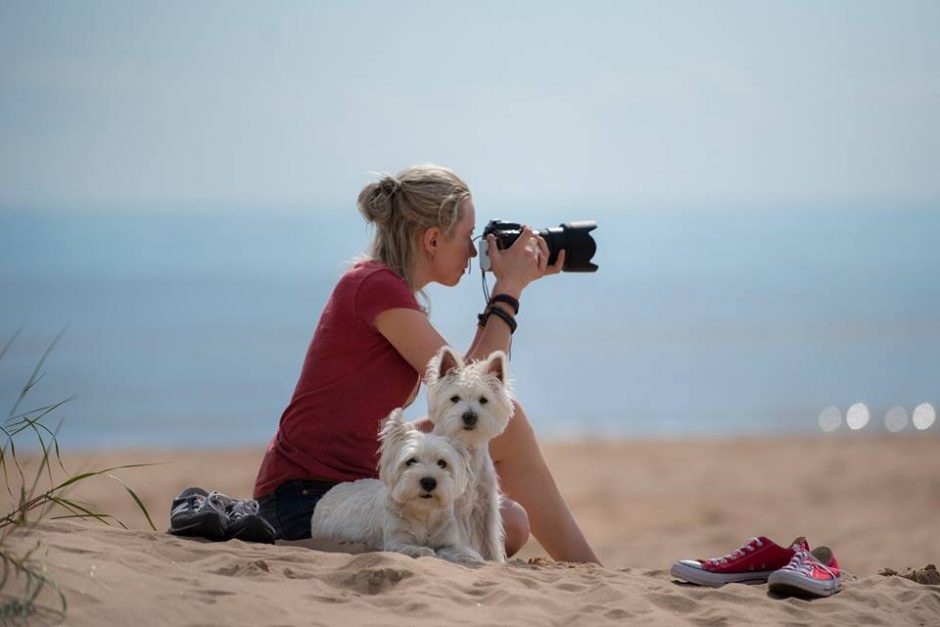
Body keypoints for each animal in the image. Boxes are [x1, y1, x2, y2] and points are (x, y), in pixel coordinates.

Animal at [310, 408, 482, 564]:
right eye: (411, 461)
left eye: (442, 463)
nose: (428, 482)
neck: (424, 511)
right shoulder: (396, 541)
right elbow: (417, 549)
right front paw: (424, 551)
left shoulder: (447, 540)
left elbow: (458, 550)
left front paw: (471, 556)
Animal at [426, 348, 516, 564]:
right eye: (454, 398)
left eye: (483, 400)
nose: (470, 416)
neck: (467, 450)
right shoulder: (452, 507)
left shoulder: (486, 502)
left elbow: (490, 537)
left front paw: (495, 560)